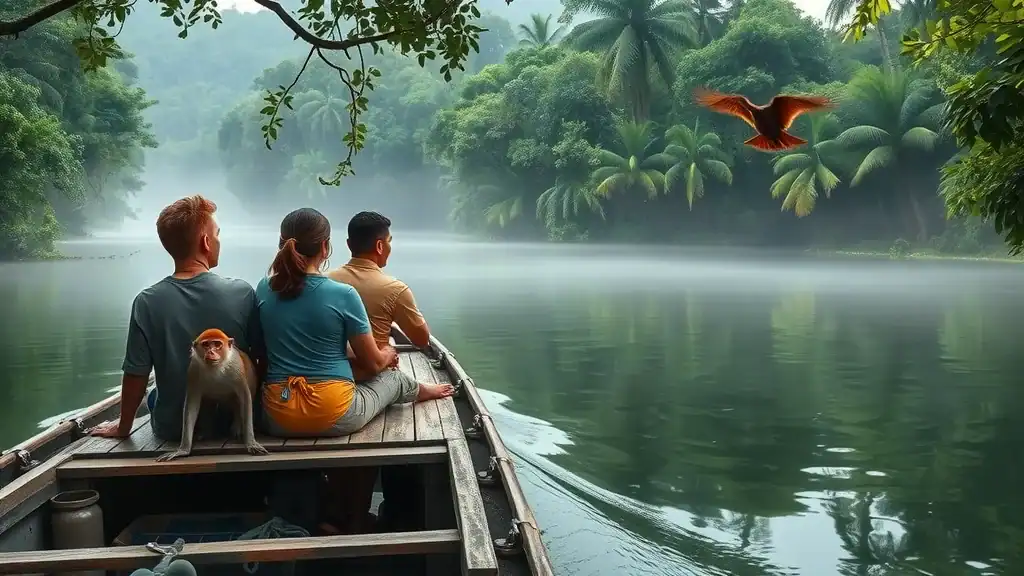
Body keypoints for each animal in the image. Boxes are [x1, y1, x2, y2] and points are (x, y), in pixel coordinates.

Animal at [156, 328, 269, 462]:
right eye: (206, 345)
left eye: (217, 344)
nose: (211, 351)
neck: (215, 368)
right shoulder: (194, 369)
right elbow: (192, 405)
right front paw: (183, 450)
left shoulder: (236, 368)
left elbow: (245, 398)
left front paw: (251, 443)